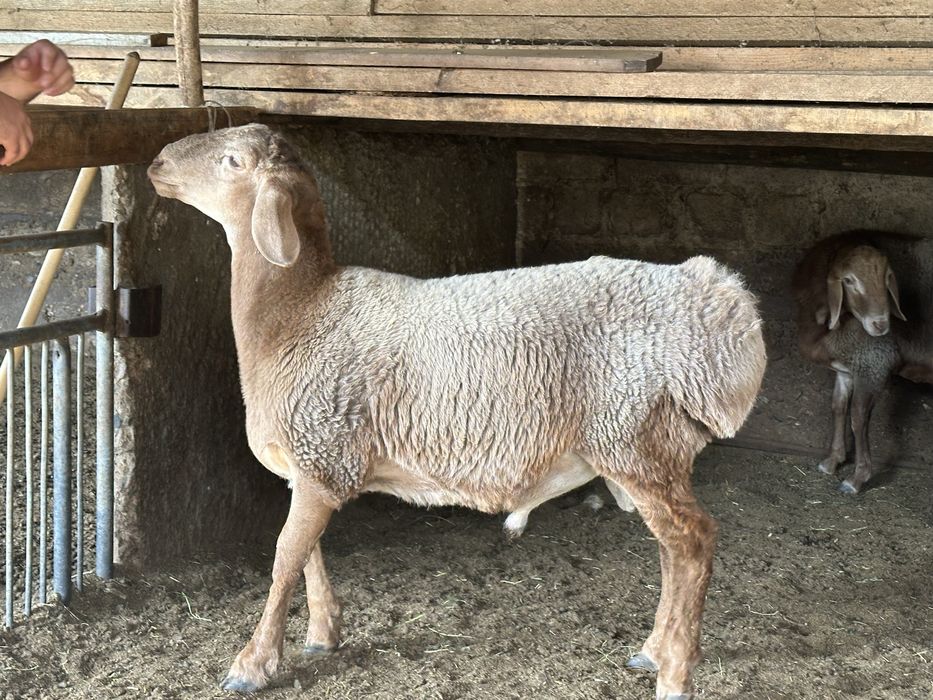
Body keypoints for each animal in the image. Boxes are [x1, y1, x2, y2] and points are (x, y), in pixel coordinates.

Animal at [147, 124, 766, 700]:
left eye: (232, 161)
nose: (156, 163)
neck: (298, 312)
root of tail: (724, 308)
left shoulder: (322, 452)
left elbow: (282, 560)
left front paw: (252, 665)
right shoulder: (314, 463)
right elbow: (308, 554)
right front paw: (323, 634)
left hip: (636, 437)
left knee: (692, 544)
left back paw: (675, 673)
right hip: (646, 450)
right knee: (671, 550)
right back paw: (653, 650)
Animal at [794, 230, 933, 494]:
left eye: (887, 278)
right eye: (849, 281)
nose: (881, 324)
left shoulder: (873, 363)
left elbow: (858, 418)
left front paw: (857, 479)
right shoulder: (847, 370)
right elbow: (838, 407)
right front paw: (833, 461)